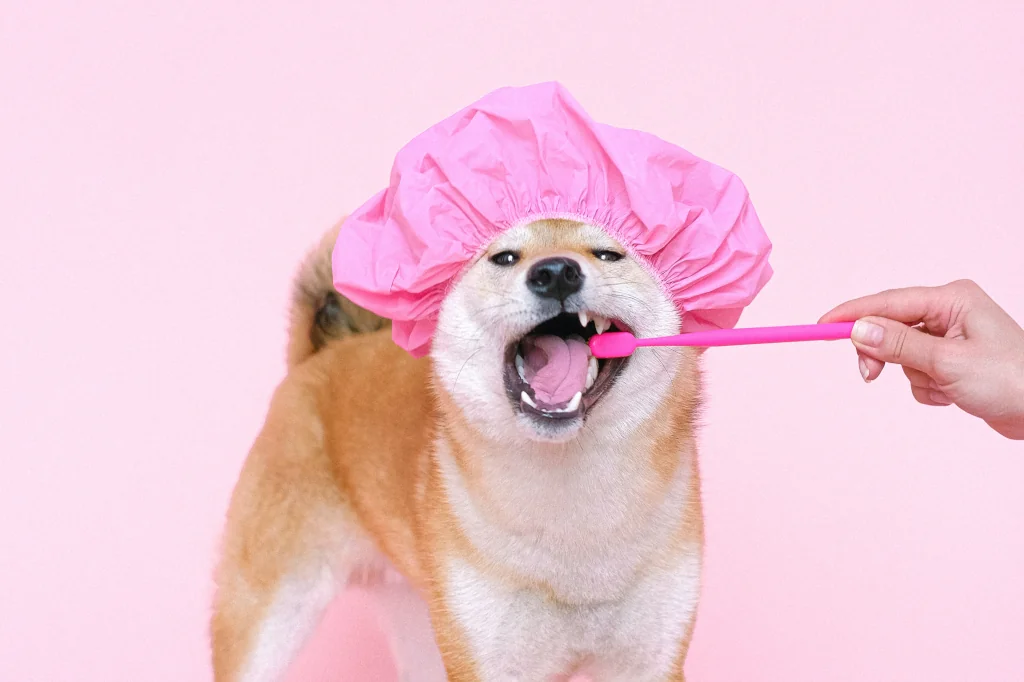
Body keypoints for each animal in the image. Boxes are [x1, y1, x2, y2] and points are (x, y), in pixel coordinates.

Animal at [211, 218, 708, 679]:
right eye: (504, 257)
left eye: (607, 254)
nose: (556, 273)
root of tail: (325, 354)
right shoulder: (486, 658)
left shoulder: (650, 660)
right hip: (269, 615)